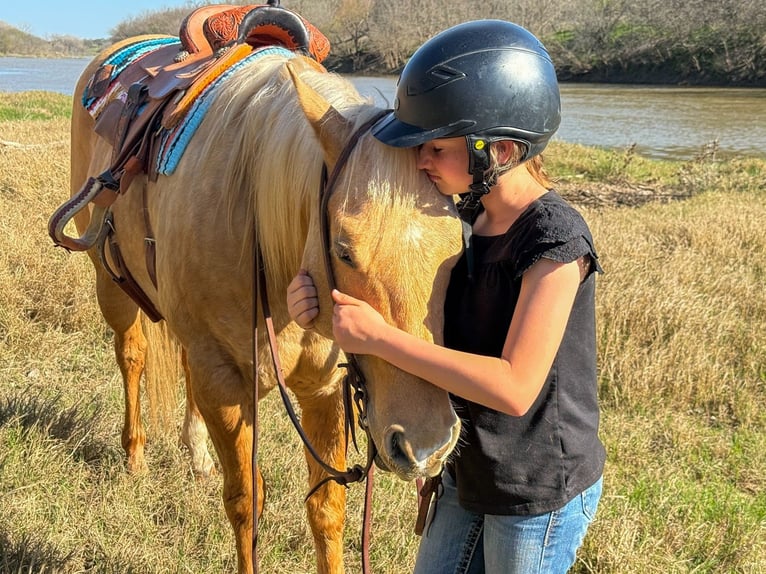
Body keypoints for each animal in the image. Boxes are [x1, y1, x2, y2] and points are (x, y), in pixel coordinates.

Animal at [59, 29, 465, 574]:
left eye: (458, 246)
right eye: (344, 250)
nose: (427, 444)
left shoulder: (323, 389)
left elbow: (327, 509)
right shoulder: (226, 384)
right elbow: (247, 505)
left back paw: (198, 457)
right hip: (111, 285)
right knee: (132, 356)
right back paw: (136, 456)